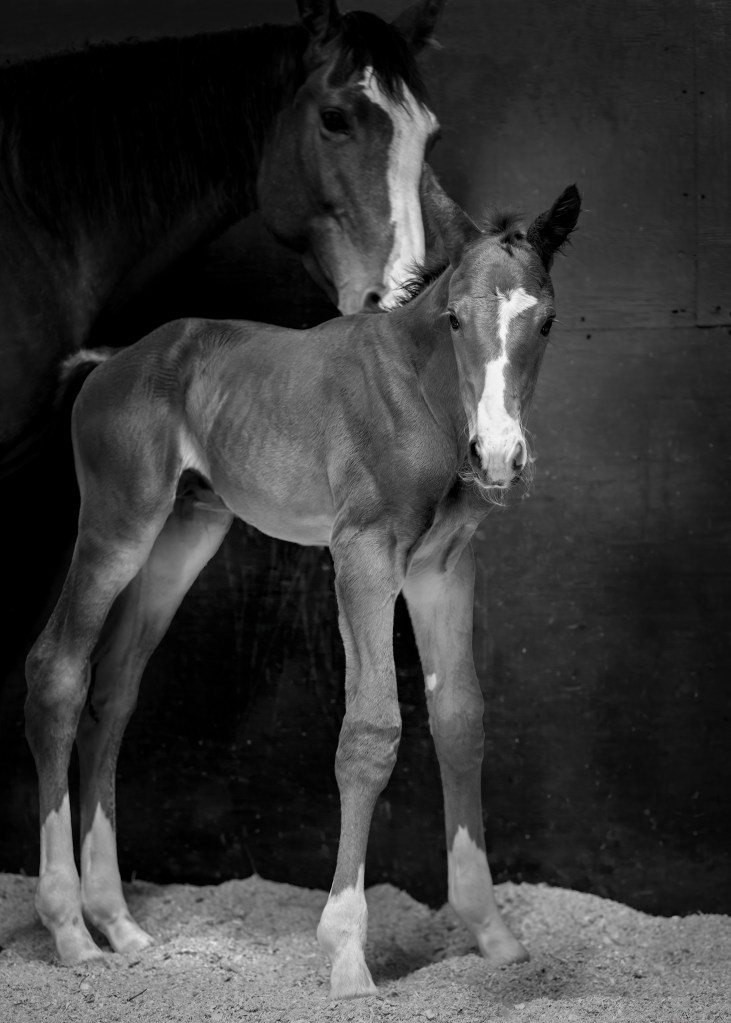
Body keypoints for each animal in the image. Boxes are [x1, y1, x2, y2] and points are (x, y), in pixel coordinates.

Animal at [24, 176, 581, 998]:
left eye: (544, 321)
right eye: (454, 317)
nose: (499, 457)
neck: (424, 398)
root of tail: (112, 359)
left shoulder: (443, 568)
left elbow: (459, 719)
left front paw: (493, 936)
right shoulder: (363, 554)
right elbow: (371, 731)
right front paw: (347, 954)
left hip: (183, 537)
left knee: (114, 691)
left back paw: (119, 925)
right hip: (117, 523)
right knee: (58, 670)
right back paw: (70, 932)